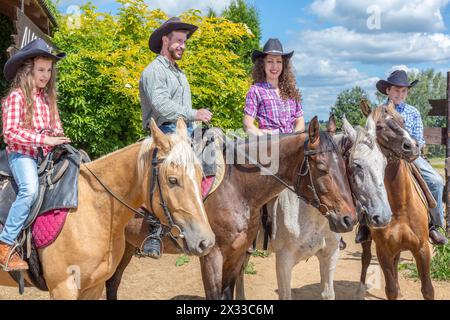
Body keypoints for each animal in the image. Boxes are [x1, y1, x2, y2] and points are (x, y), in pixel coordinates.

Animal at [0, 119, 216, 298]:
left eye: (201, 176)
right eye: (172, 180)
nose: (205, 241)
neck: (94, 212)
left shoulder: (93, 286)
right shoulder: (63, 288)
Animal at [105, 115, 358, 300]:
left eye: (345, 166)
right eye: (322, 167)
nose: (349, 219)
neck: (238, 189)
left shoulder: (236, 255)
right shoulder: (212, 256)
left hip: (126, 247)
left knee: (112, 283)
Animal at [234, 115, 392, 300]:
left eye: (384, 163)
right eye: (356, 165)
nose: (383, 217)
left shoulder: (330, 255)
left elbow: (328, 293)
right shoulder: (284, 261)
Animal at [356, 102, 434, 300]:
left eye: (403, 120)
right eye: (378, 126)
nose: (411, 146)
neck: (400, 206)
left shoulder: (422, 249)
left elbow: (428, 290)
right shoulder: (383, 249)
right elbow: (390, 290)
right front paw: (394, 290)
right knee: (366, 259)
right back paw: (360, 290)